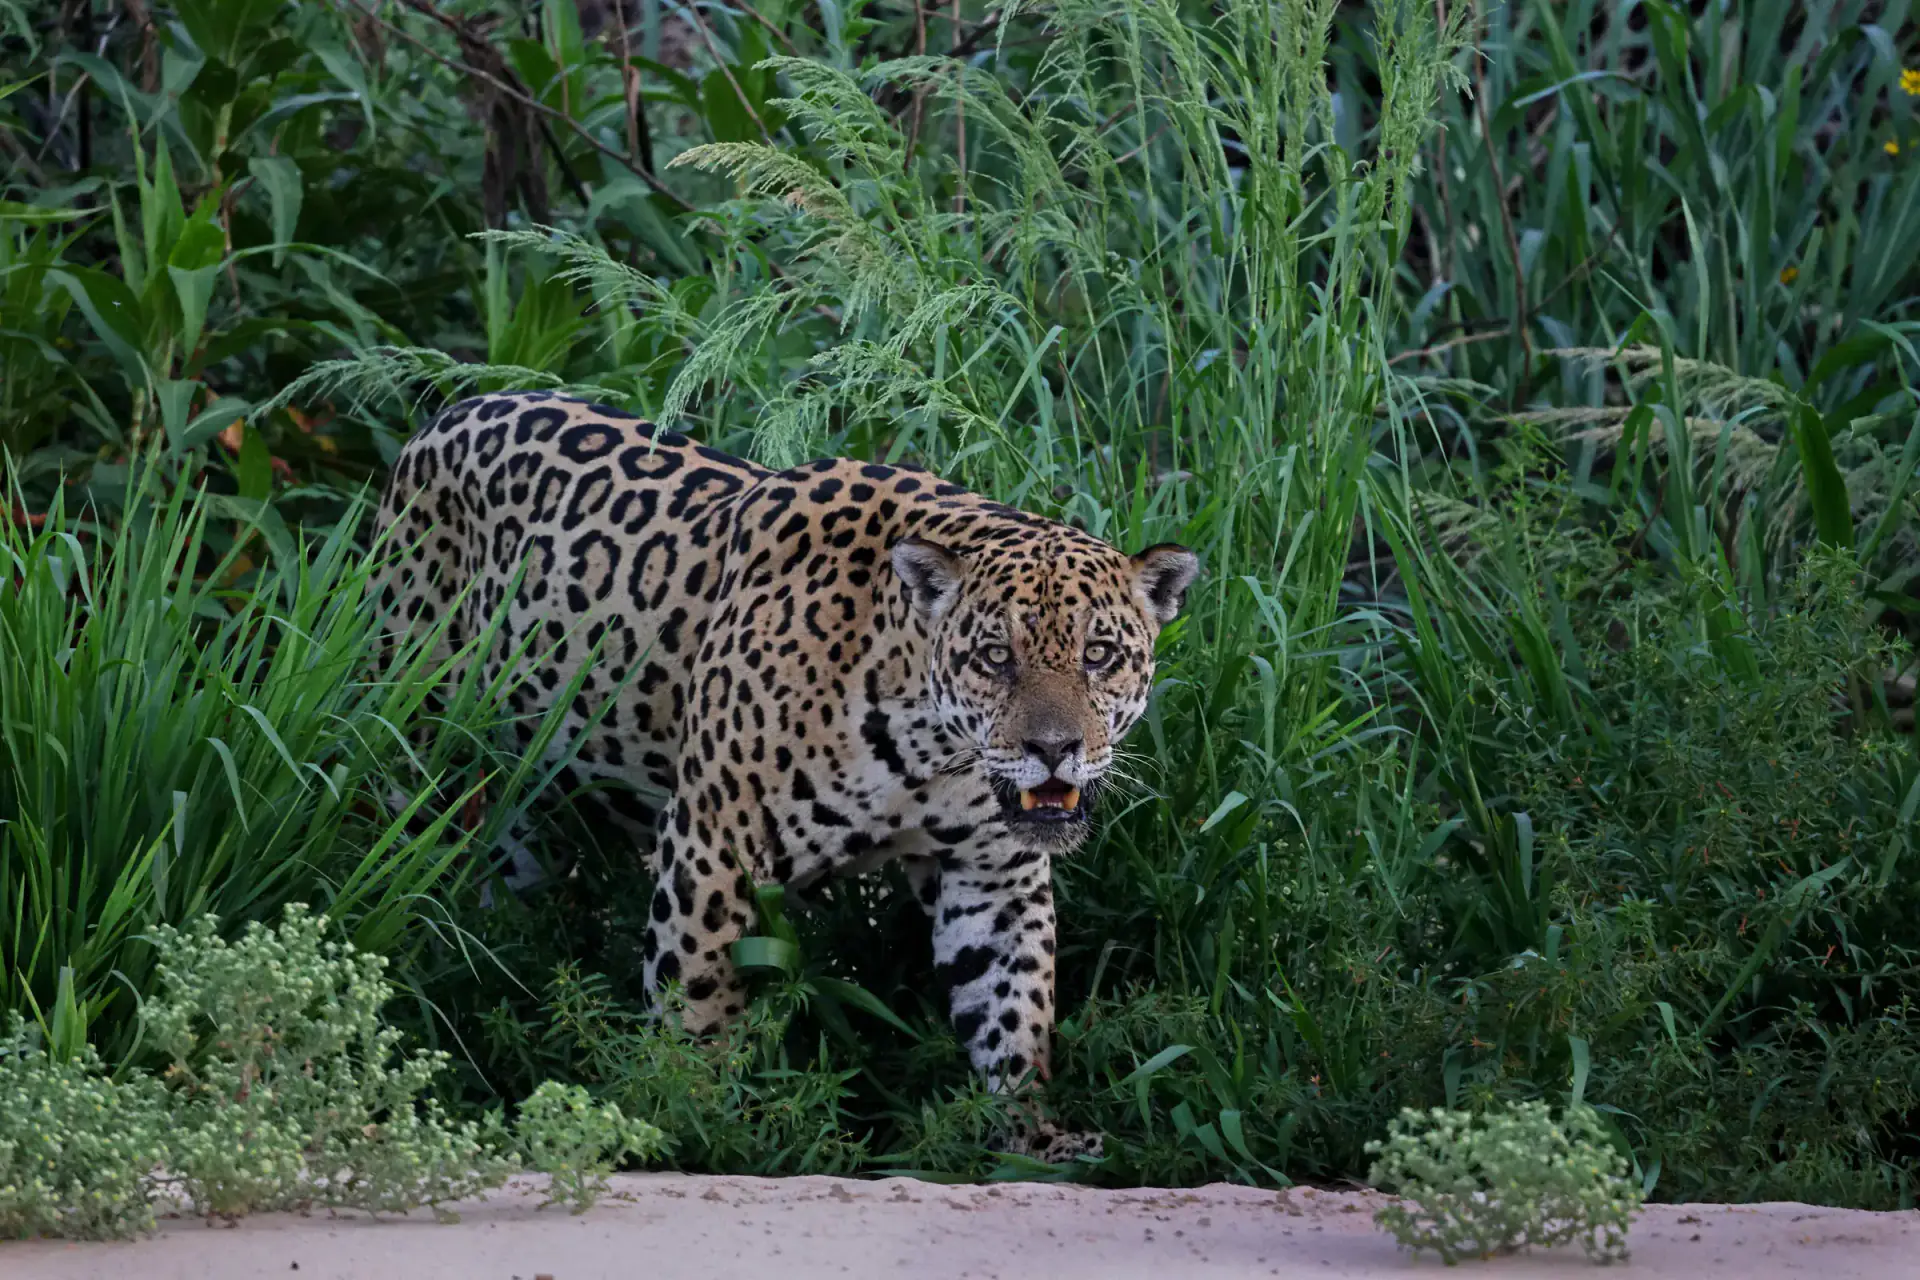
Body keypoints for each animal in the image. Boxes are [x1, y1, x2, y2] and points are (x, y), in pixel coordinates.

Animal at [373, 391, 1198, 1161]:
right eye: (996, 658)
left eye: (1100, 655)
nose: (1055, 748)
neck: (927, 747)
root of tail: (446, 413)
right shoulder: (711, 849)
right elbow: (698, 1009)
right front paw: (699, 1124)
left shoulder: (993, 876)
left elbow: (1013, 1006)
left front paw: (1032, 1137)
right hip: (421, 743)